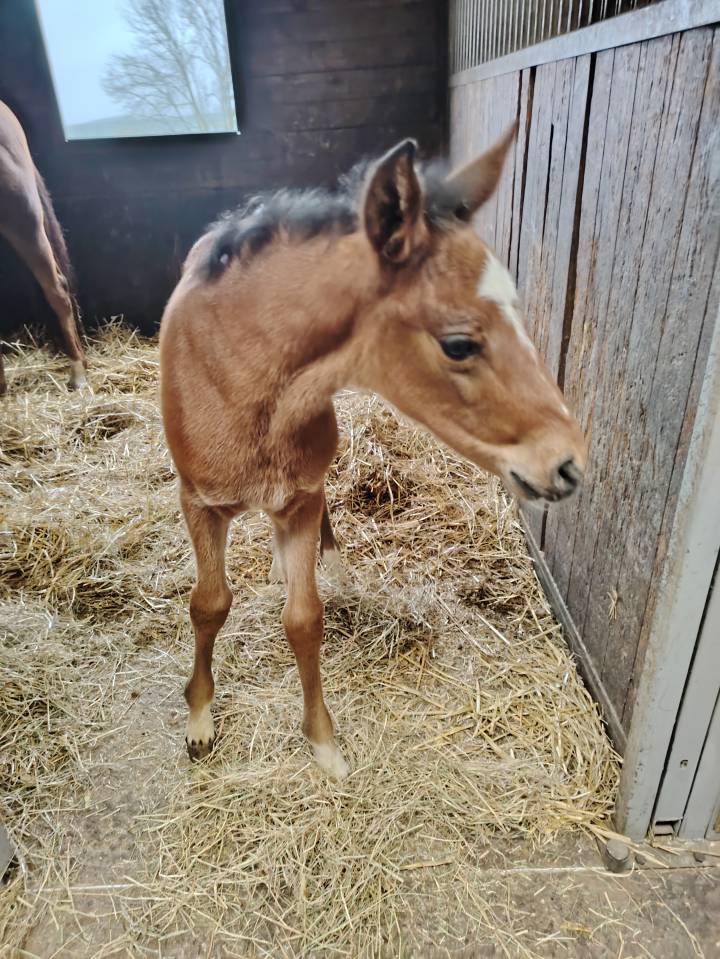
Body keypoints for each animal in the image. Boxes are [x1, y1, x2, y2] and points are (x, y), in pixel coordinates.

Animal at [159, 124, 586, 779]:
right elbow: (209, 604)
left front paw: (323, 744)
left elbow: (304, 618)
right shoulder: (198, 502)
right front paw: (201, 719)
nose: (568, 464)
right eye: (458, 343)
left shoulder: (298, 497)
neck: (249, 389)